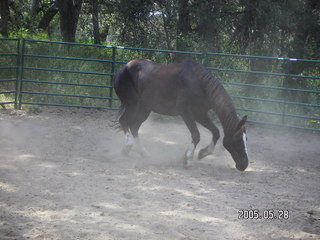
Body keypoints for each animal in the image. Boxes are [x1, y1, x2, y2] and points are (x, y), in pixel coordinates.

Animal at [114, 58, 249, 172]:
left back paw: (143, 153)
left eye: (246, 139)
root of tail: (124, 68)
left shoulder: (200, 114)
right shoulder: (186, 112)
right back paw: (127, 148)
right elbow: (196, 135)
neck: (200, 84)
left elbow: (215, 132)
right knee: (124, 121)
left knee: (134, 126)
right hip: (133, 104)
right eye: (238, 140)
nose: (244, 164)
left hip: (145, 109)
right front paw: (187, 160)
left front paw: (202, 153)